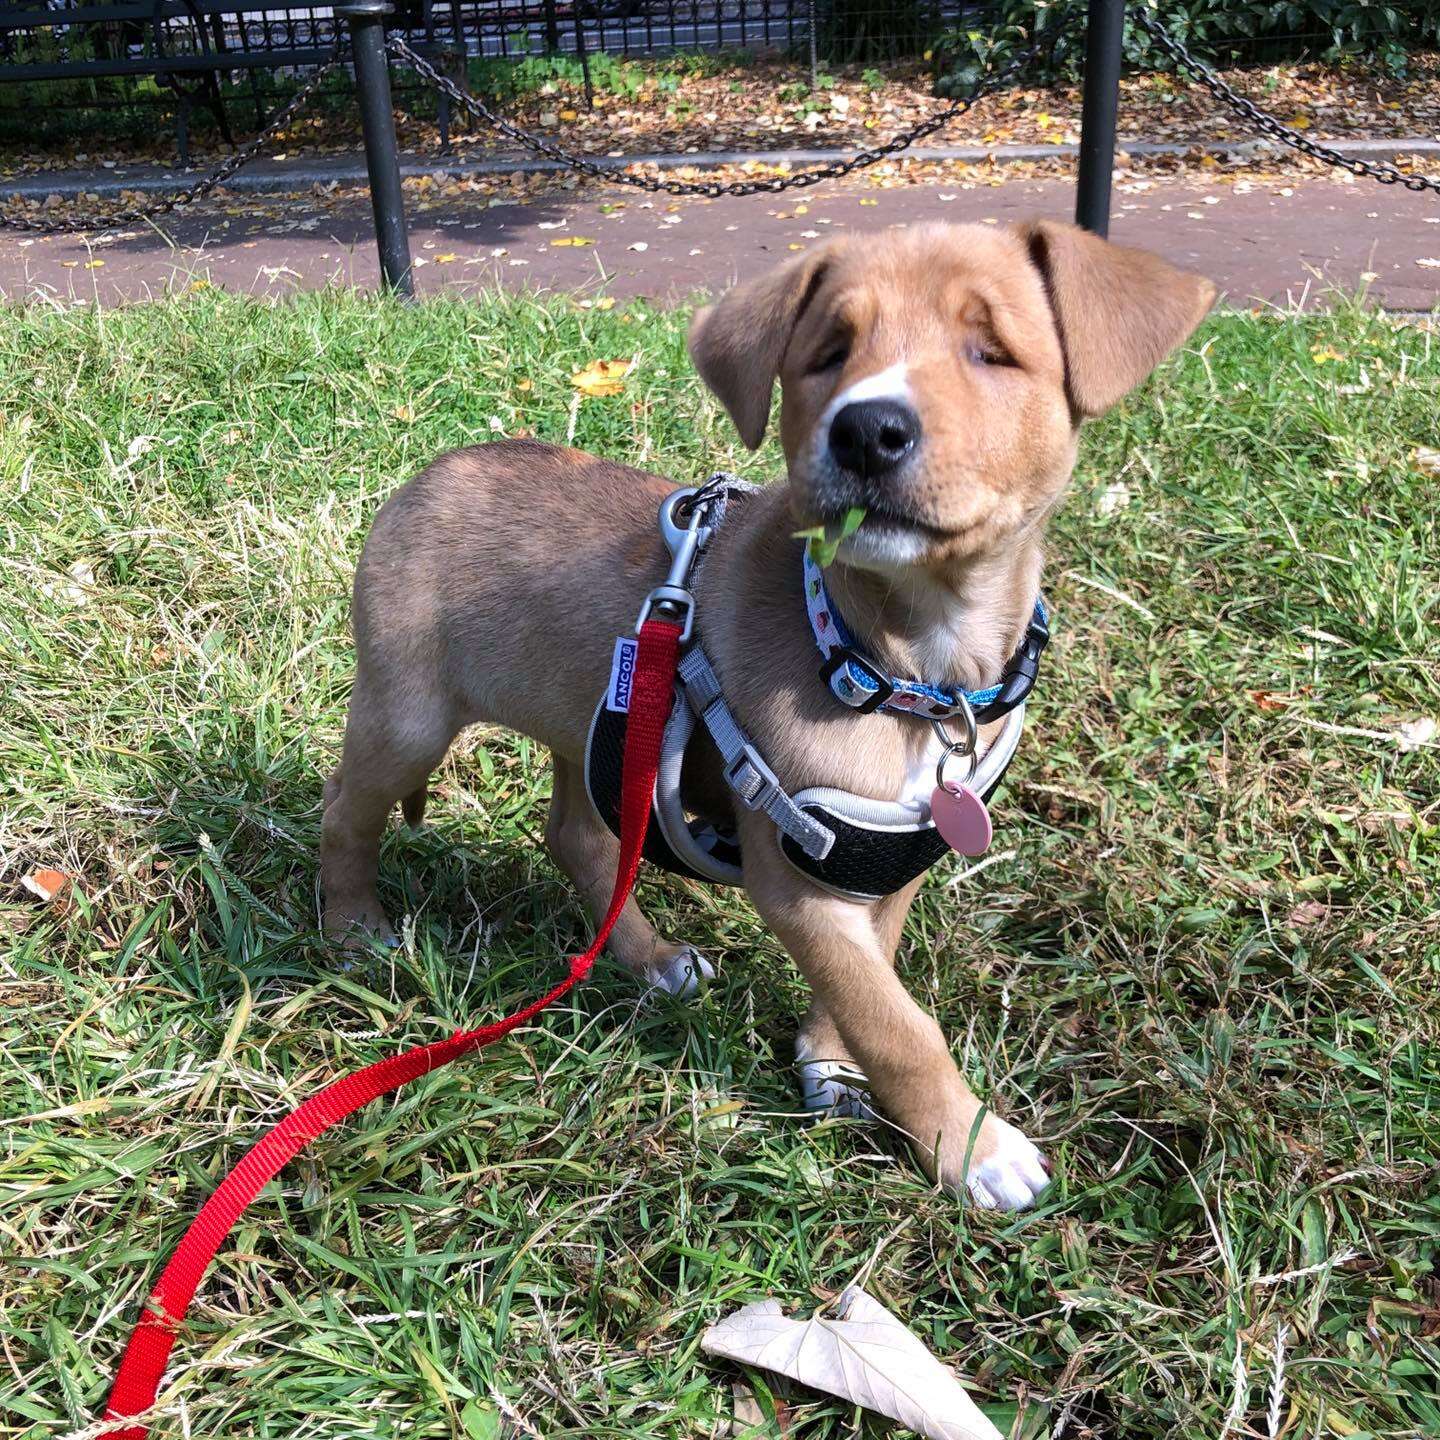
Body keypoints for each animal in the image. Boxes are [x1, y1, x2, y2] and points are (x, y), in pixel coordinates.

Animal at [321, 218, 1209, 1209]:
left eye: (992, 352)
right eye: (827, 354)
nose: (867, 430)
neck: (902, 665)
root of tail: (428, 476)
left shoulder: (888, 849)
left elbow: (870, 978)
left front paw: (831, 1061)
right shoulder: (793, 874)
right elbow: (897, 1020)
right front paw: (970, 1145)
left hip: (603, 725)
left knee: (578, 837)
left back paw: (649, 957)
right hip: (409, 717)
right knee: (346, 810)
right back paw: (353, 932)